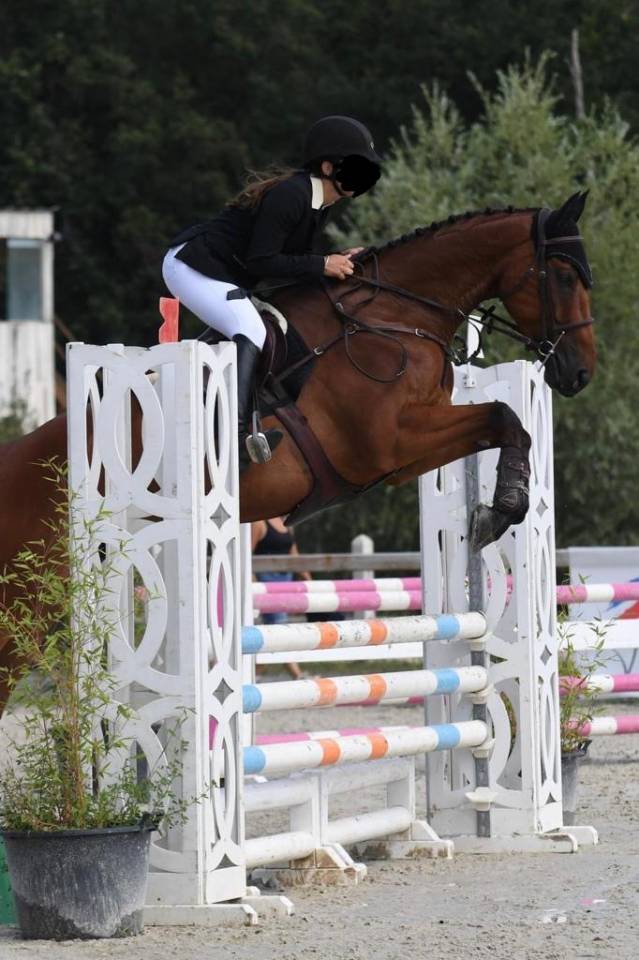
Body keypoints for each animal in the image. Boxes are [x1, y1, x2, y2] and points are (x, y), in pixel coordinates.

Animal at [0, 191, 596, 710]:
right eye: (566, 276)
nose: (579, 373)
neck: (391, 318)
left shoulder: (407, 456)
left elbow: (506, 423)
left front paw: (494, 511)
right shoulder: (391, 441)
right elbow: (504, 416)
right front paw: (504, 509)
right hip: (29, 597)